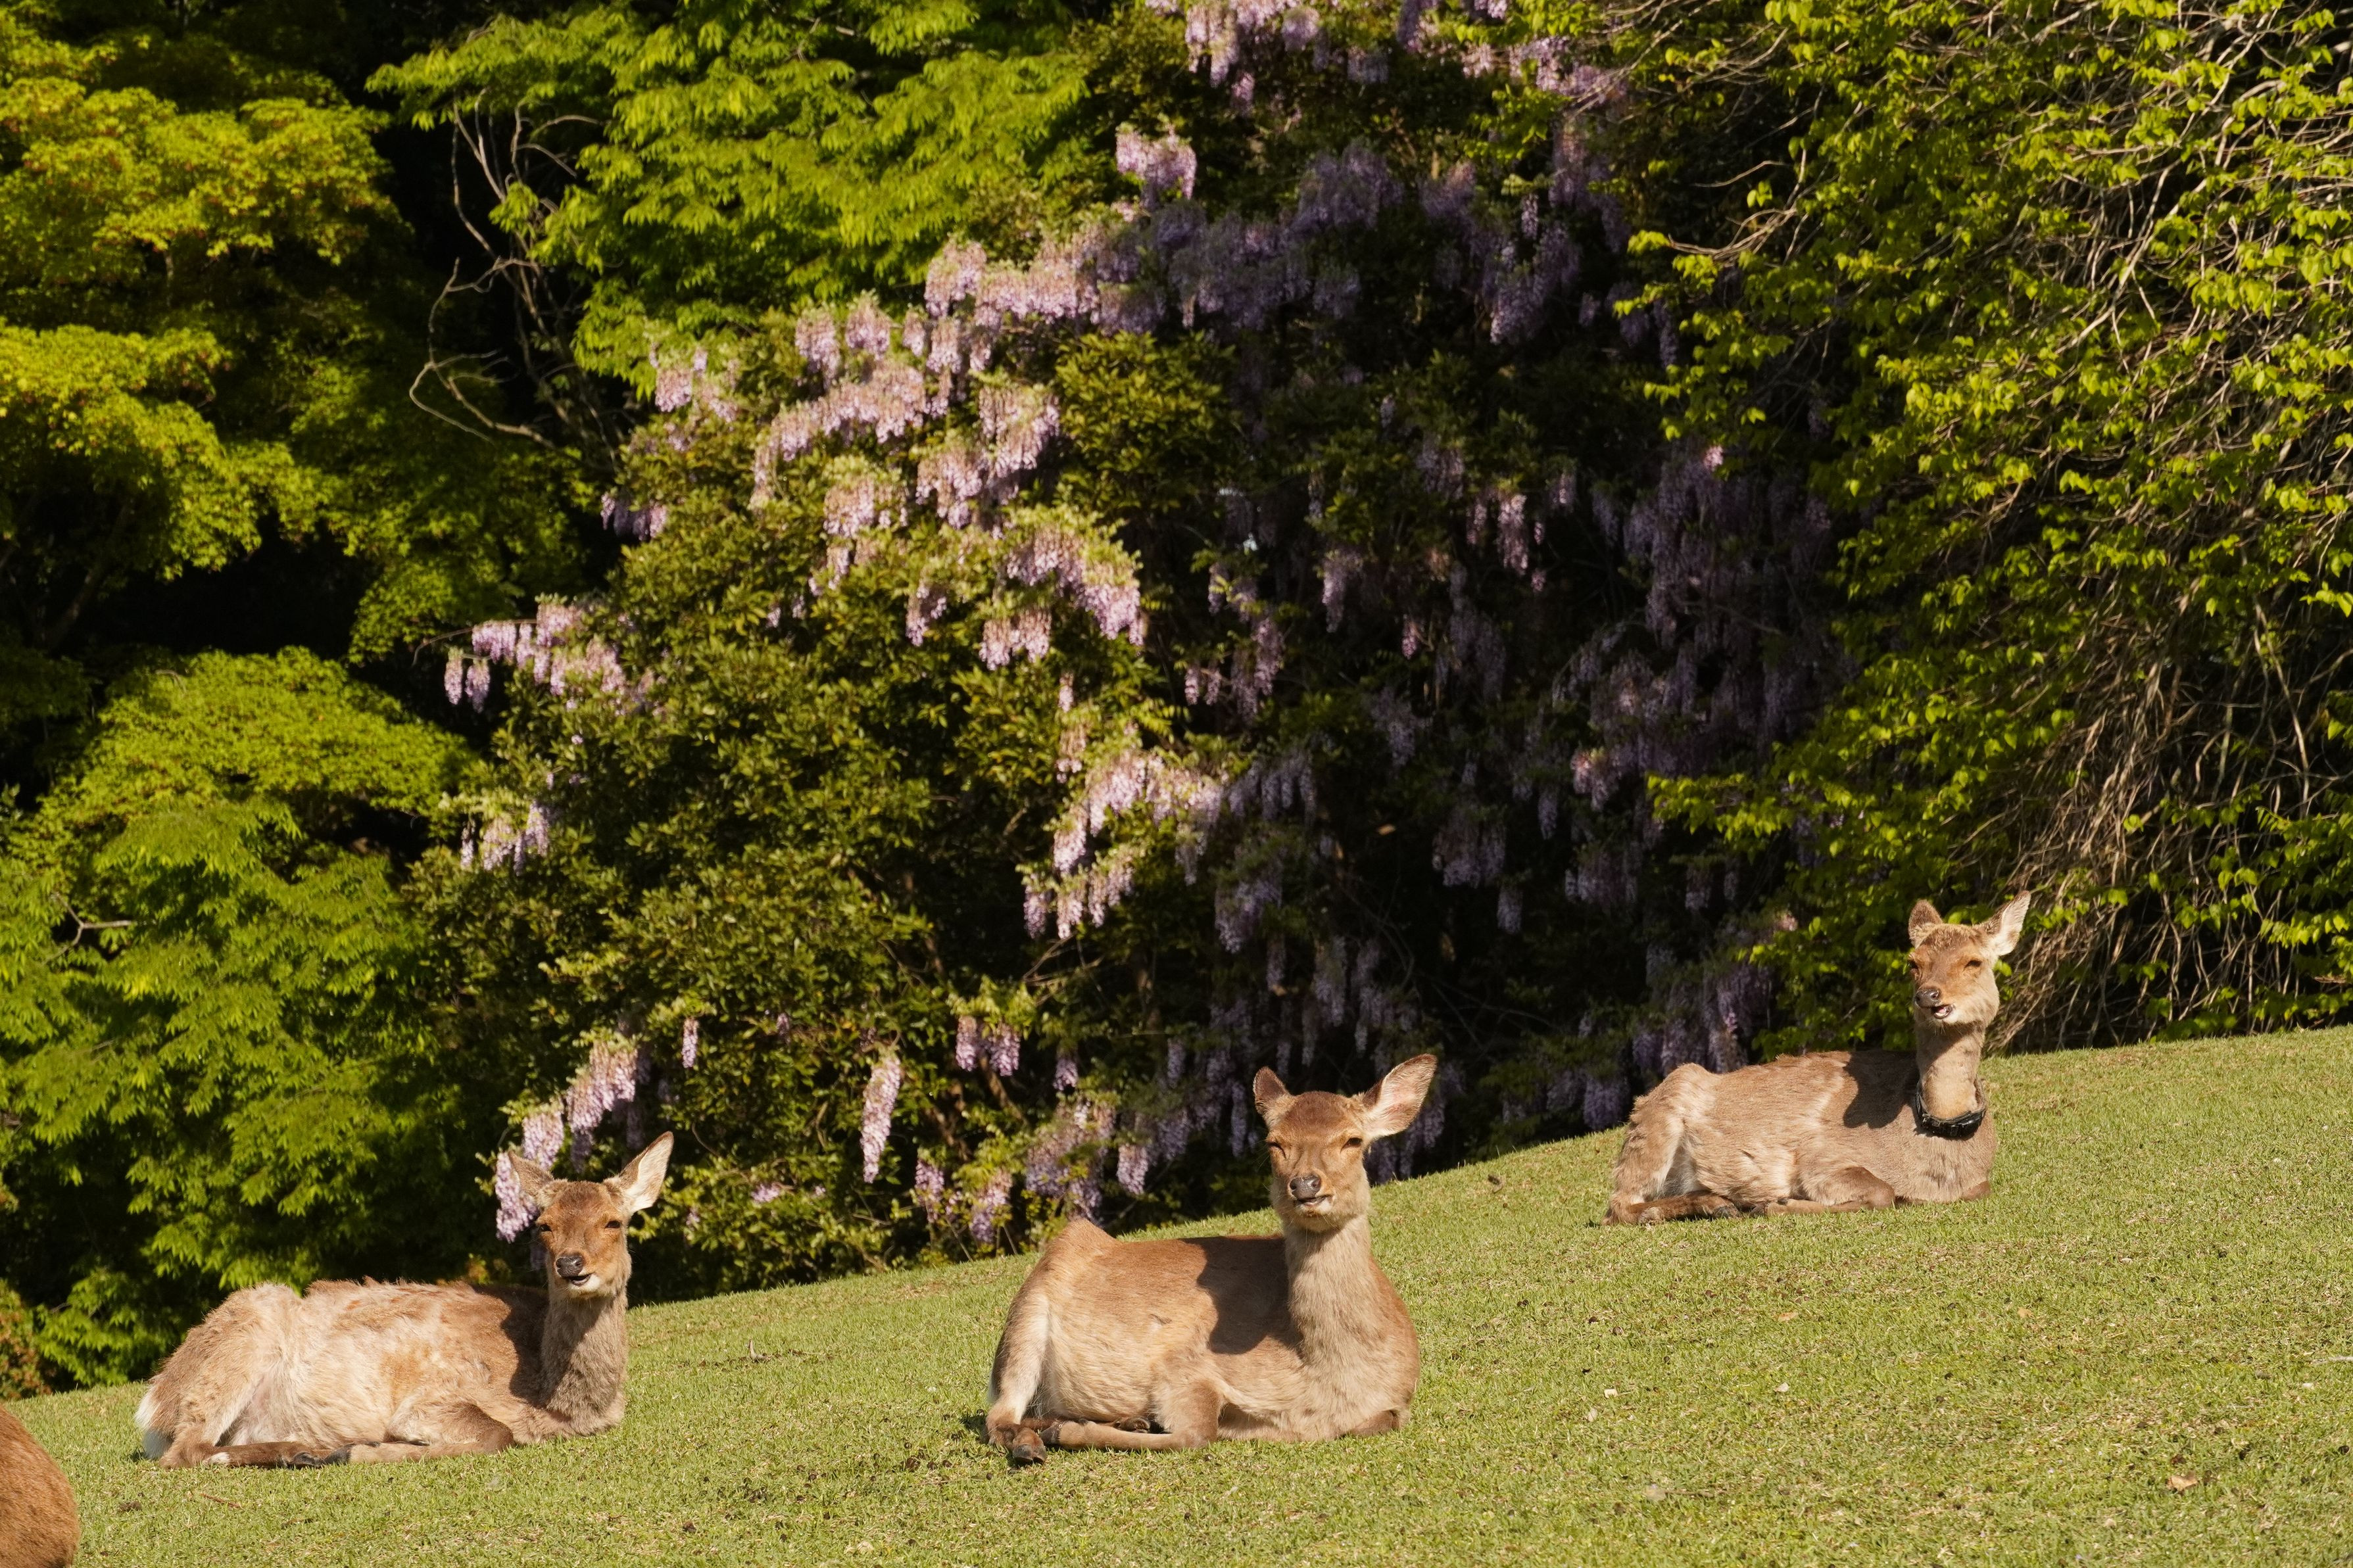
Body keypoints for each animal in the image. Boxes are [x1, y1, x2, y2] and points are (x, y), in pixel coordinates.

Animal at [135, 1133, 670, 1468]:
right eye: (545, 1225)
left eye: (614, 1221)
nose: (571, 1264)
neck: (560, 1406)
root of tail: (153, 1406)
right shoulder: (430, 1397)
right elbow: (497, 1434)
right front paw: (369, 1450)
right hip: (242, 1338)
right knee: (186, 1451)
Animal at [984, 1055, 1436, 1466]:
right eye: (1274, 1142)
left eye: (1352, 1140)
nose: (1306, 1184)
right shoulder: (1180, 1363)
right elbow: (1199, 1433)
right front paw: (1071, 1433)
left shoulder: (1396, 1400)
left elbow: (1382, 1421)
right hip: (1026, 1319)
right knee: (1000, 1413)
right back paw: (1035, 1442)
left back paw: (1122, 1421)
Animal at [1607, 895, 2028, 1224]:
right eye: (1913, 962)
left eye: (1974, 962)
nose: (1928, 995)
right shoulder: (1821, 1156)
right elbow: (1882, 1193)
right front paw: (1777, 1204)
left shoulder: (1977, 1183)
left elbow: (1977, 1190)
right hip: (1661, 1113)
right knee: (1619, 1206)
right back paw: (1715, 1205)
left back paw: (1718, 1202)